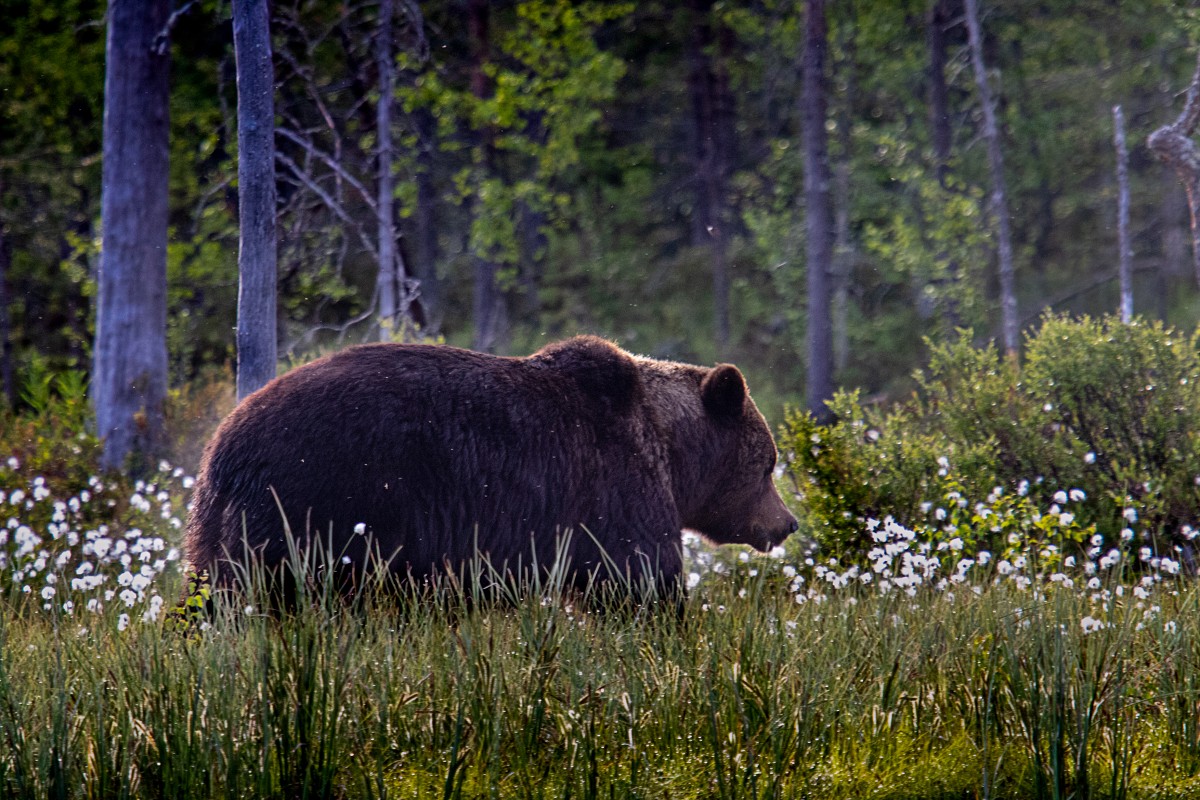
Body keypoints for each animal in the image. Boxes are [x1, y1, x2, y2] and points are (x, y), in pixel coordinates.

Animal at [184, 335, 796, 597]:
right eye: (769, 463)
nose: (788, 523)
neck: (671, 452)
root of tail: (221, 447)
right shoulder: (615, 487)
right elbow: (639, 581)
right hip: (323, 503)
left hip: (224, 531)